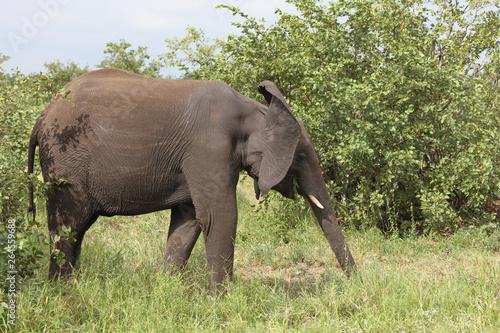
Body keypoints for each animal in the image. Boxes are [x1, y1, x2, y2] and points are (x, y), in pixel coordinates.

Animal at [27, 68, 356, 290]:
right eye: (299, 156)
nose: (356, 283)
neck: (256, 109)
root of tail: (41, 116)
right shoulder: (209, 149)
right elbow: (219, 215)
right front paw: (223, 300)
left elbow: (189, 220)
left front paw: (164, 290)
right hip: (65, 163)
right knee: (68, 225)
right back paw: (61, 292)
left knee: (77, 229)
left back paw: (70, 286)